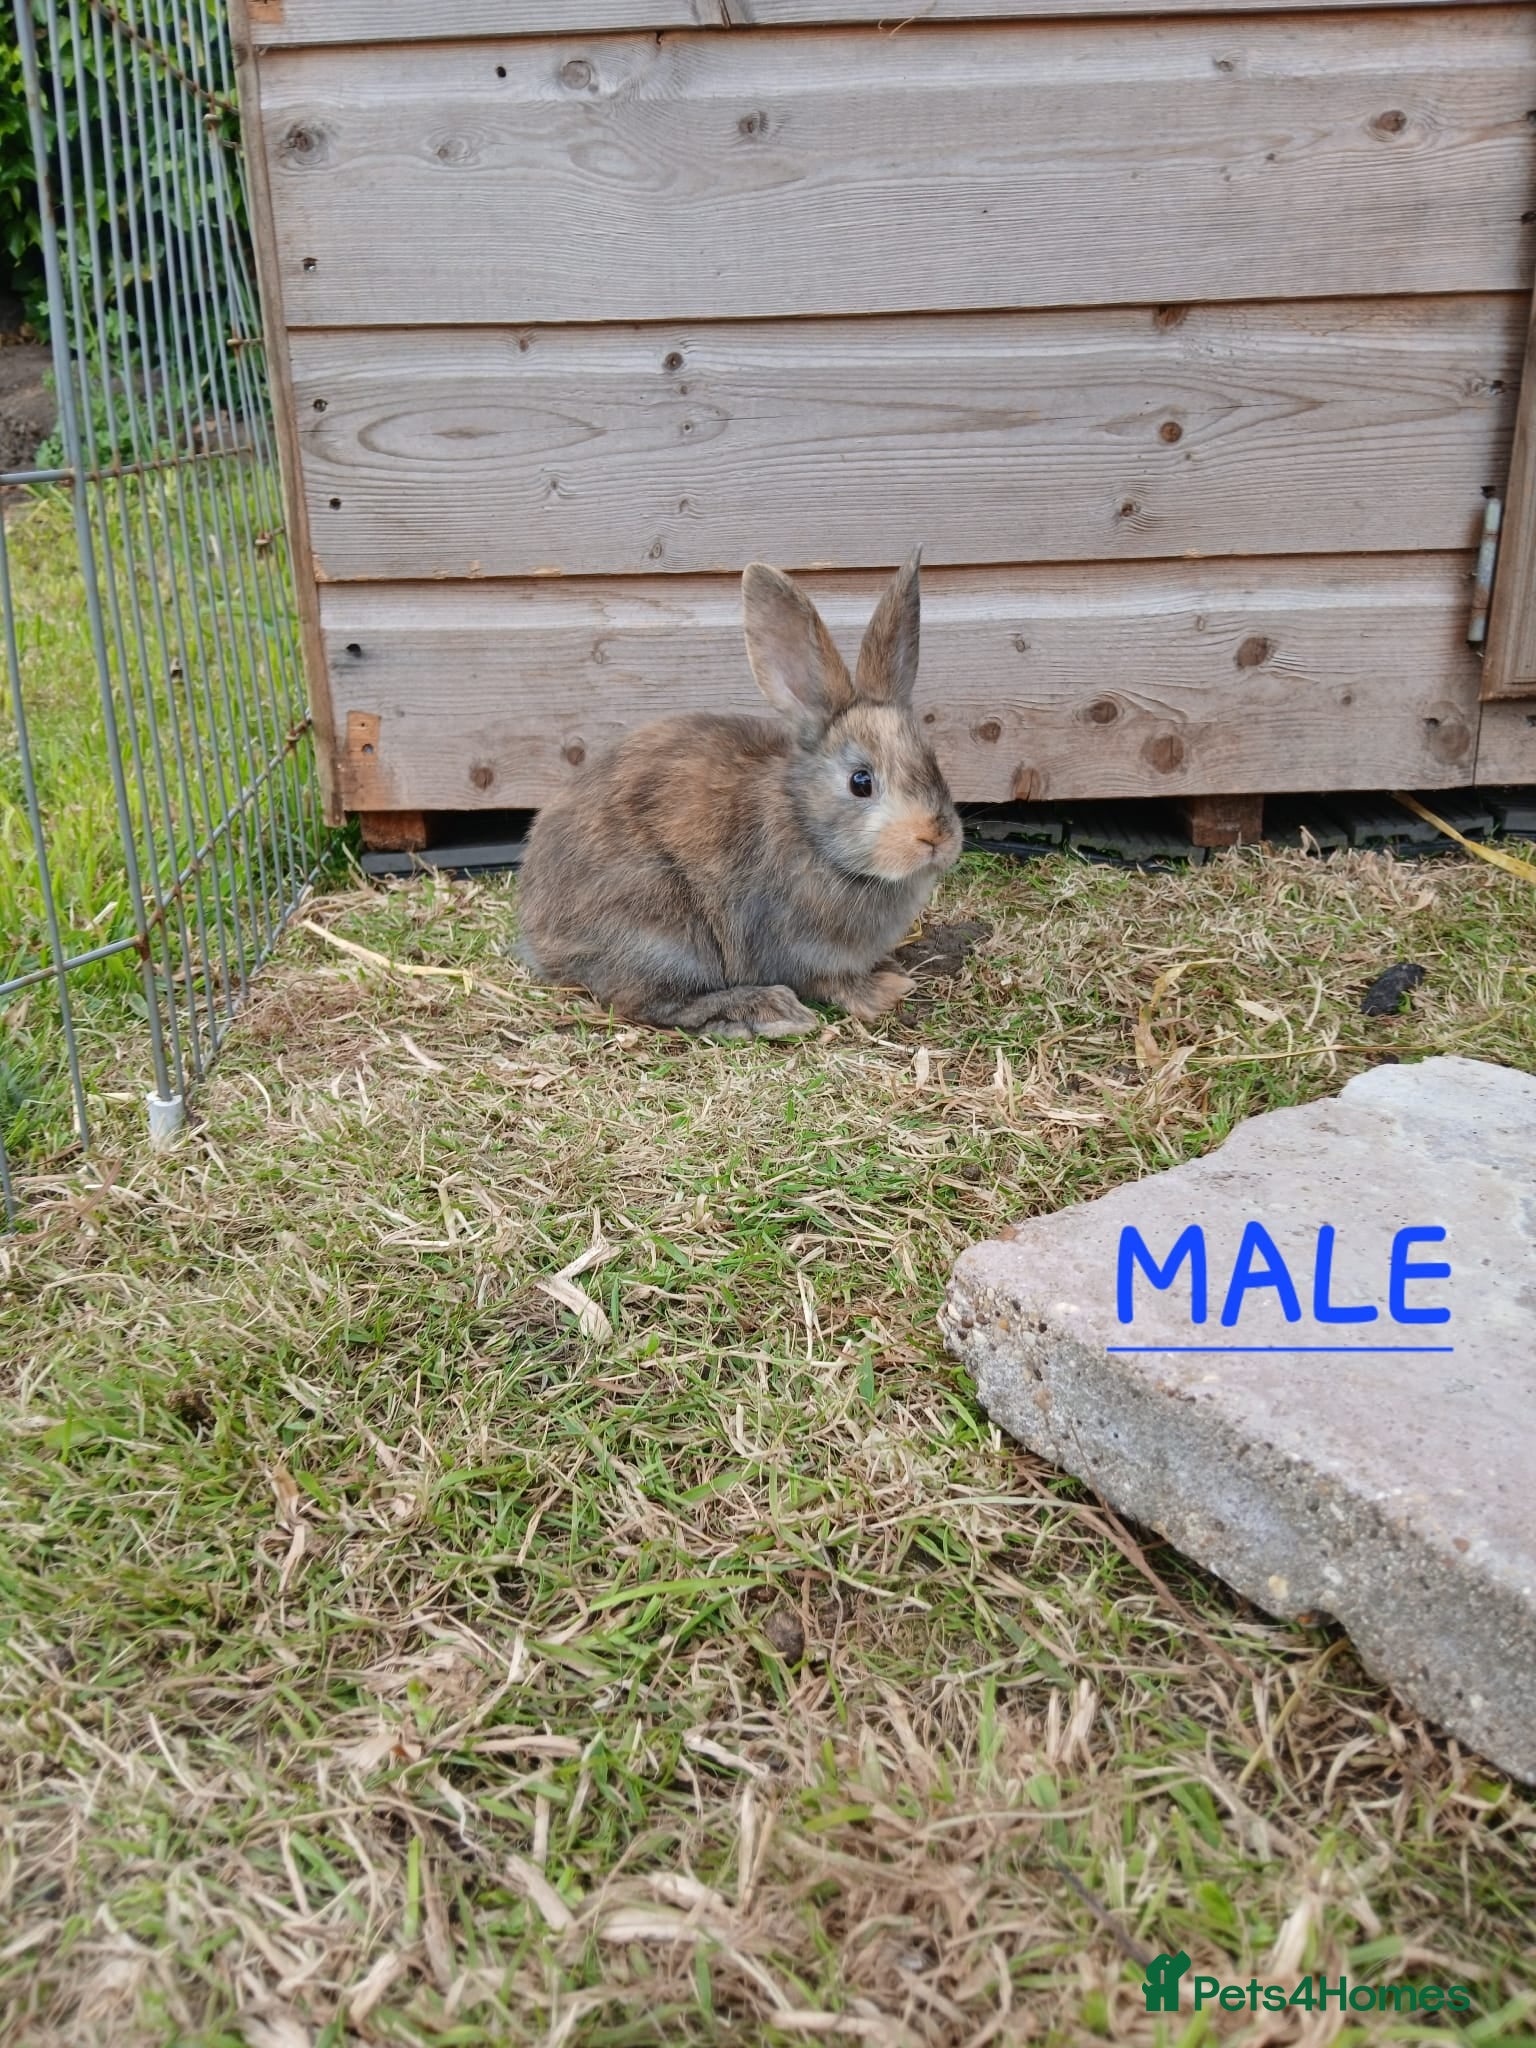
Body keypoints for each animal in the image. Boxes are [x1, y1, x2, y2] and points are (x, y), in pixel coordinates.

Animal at [515, 548, 963, 1039]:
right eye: (860, 782)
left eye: (933, 760)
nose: (936, 838)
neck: (812, 834)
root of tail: (540, 934)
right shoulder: (798, 946)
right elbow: (832, 981)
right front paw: (881, 993)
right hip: (665, 933)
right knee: (646, 1003)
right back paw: (765, 1010)